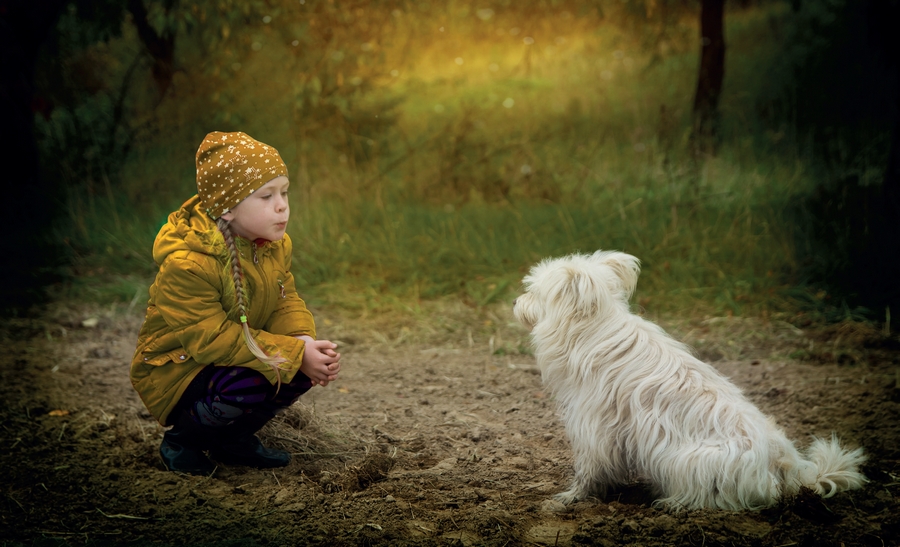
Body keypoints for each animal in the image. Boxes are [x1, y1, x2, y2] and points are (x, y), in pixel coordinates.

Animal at [516, 250, 868, 512]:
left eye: (533, 292)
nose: (516, 304)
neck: (593, 332)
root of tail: (791, 468)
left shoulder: (595, 430)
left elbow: (588, 471)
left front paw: (570, 498)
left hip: (687, 459)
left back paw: (673, 503)